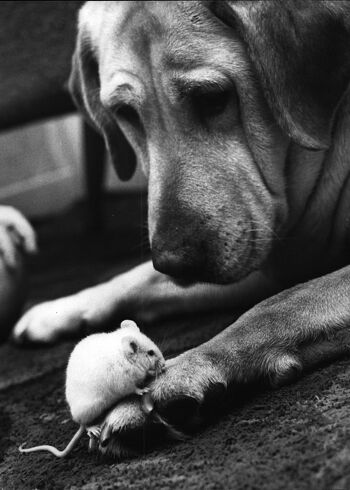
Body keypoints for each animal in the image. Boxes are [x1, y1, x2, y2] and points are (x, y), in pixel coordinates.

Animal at [11, 0, 350, 456]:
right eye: (124, 114)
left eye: (213, 98)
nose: (174, 263)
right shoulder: (262, 255)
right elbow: (134, 279)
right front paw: (63, 308)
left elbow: (276, 306)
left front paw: (173, 378)